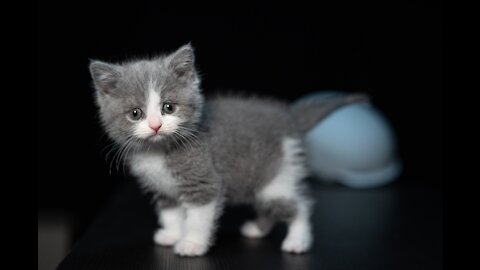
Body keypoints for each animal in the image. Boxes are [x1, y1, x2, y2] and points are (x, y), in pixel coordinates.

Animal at [89, 43, 368, 255]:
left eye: (169, 107)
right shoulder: (161, 188)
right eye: (136, 113)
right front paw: (172, 234)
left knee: (299, 206)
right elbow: (171, 212)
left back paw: (298, 240)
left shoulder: (203, 179)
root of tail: (287, 117)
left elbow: (198, 216)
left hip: (279, 173)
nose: (156, 126)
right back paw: (258, 228)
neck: (158, 152)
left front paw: (191, 244)